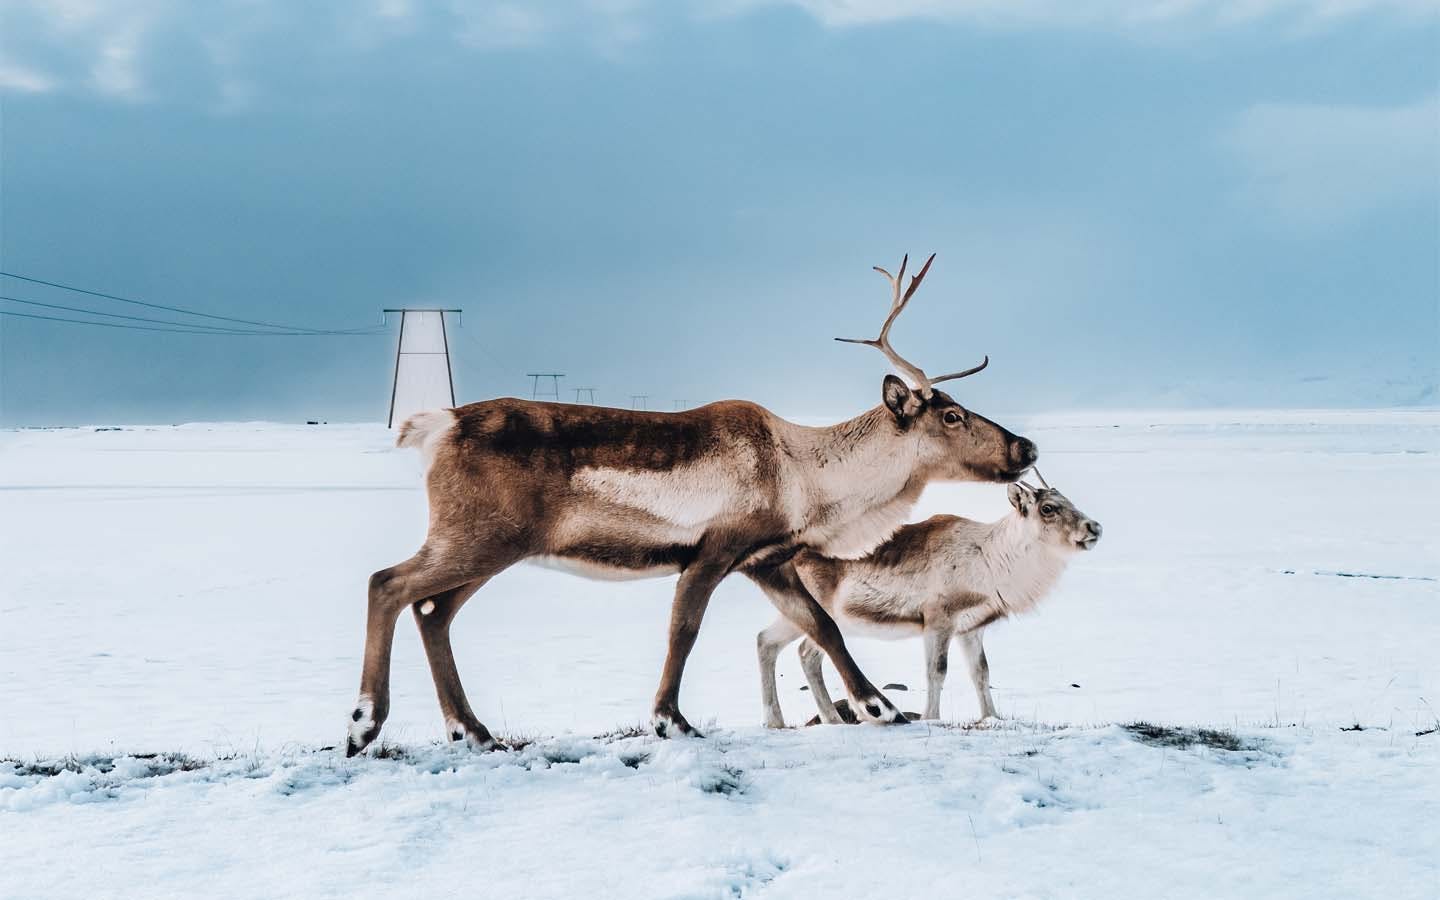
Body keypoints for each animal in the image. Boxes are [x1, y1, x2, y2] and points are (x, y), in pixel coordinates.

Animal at [345, 253, 1039, 757]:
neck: (805, 476)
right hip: (480, 536)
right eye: (951, 414)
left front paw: (880, 707)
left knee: (433, 611)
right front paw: (670, 719)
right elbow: (685, 629)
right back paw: (363, 724)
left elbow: (824, 625)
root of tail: (434, 426)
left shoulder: (768, 559)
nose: (1026, 445)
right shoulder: (713, 551)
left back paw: (473, 731)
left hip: (492, 545)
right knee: (388, 583)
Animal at [756, 475, 1102, 727]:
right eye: (1048, 508)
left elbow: (981, 673)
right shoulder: (938, 620)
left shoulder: (971, 627)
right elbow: (937, 671)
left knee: (774, 644)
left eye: (1068, 501)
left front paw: (992, 717)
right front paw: (932, 718)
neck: (991, 560)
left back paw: (793, 722)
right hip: (819, 612)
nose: (1094, 527)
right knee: (800, 650)